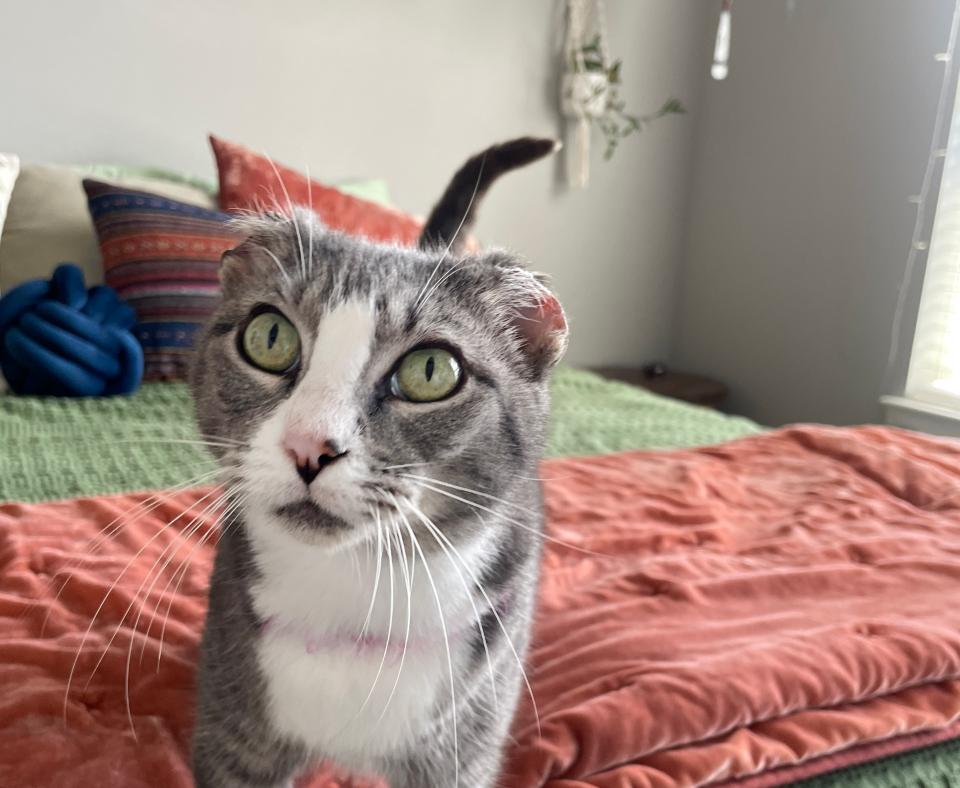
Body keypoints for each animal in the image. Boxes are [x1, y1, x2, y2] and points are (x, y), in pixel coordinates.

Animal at [192, 139, 568, 784]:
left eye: (430, 371)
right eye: (269, 337)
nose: (309, 446)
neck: (358, 592)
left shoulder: (459, 746)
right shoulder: (233, 737)